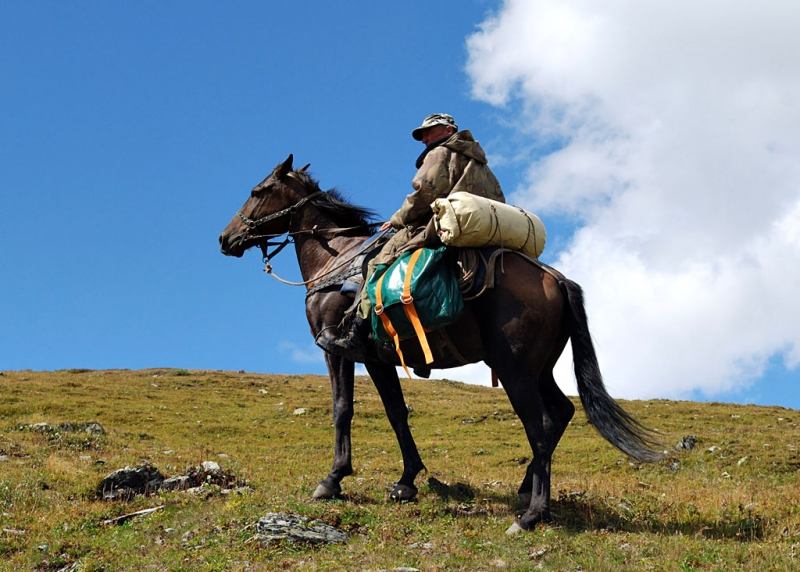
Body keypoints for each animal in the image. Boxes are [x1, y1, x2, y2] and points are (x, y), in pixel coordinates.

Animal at [219, 155, 664, 532]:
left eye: (258, 191)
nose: (226, 238)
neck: (335, 261)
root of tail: (554, 278)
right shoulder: (379, 358)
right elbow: (396, 413)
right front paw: (406, 481)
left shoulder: (336, 350)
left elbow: (342, 410)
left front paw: (333, 480)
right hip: (540, 370)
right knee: (561, 413)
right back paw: (526, 491)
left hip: (516, 372)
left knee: (538, 428)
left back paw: (532, 515)